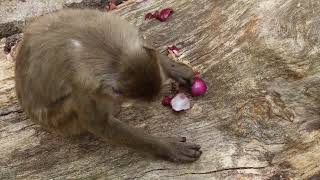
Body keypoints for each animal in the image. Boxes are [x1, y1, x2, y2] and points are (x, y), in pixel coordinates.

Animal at [15, 8, 201, 163]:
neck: (115, 55)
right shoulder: (82, 86)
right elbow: (100, 125)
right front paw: (167, 146)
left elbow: (149, 51)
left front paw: (173, 68)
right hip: (61, 121)